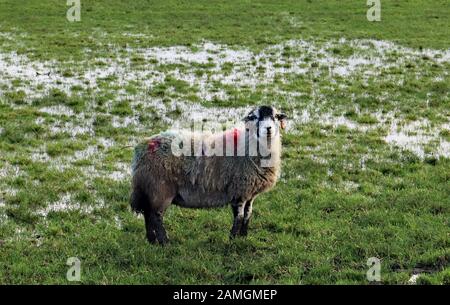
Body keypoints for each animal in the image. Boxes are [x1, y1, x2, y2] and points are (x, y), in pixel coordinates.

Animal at [130, 105, 286, 243]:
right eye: (254, 117)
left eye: (275, 116)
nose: (268, 129)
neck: (247, 147)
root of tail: (142, 148)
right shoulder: (238, 190)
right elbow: (239, 217)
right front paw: (232, 240)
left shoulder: (250, 193)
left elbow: (248, 214)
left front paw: (243, 237)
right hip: (160, 189)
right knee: (156, 216)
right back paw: (164, 242)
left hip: (150, 189)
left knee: (147, 214)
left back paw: (152, 240)